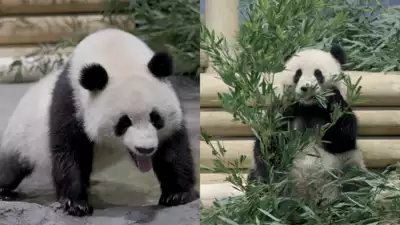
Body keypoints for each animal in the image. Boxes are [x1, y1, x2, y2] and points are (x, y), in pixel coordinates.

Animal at [0, 27, 199, 216]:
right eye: (123, 122)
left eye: (155, 118)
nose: (145, 149)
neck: (116, 53)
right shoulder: (71, 101)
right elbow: (69, 150)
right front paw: (76, 204)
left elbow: (172, 148)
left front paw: (178, 194)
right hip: (20, 137)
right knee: (10, 168)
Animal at [248, 44, 368, 205]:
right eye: (298, 74)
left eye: (318, 74)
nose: (307, 88)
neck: (309, 107)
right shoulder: (284, 110)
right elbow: (268, 144)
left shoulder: (335, 112)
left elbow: (343, 138)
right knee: (258, 181)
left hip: (346, 169)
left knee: (357, 182)